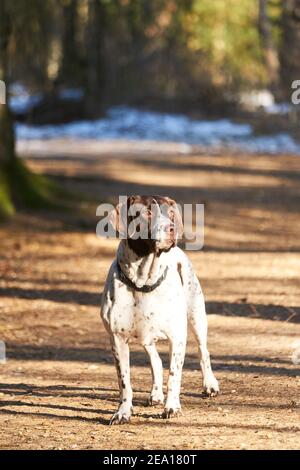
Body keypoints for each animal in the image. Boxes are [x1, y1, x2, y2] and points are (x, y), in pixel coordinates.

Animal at [101, 194, 218, 422]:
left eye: (171, 213)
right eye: (147, 213)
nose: (171, 228)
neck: (142, 281)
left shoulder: (177, 337)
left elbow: (174, 375)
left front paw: (172, 407)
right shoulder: (117, 340)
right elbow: (124, 381)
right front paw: (123, 412)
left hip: (197, 316)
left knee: (203, 351)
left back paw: (209, 384)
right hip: (146, 336)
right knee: (155, 360)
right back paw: (155, 393)